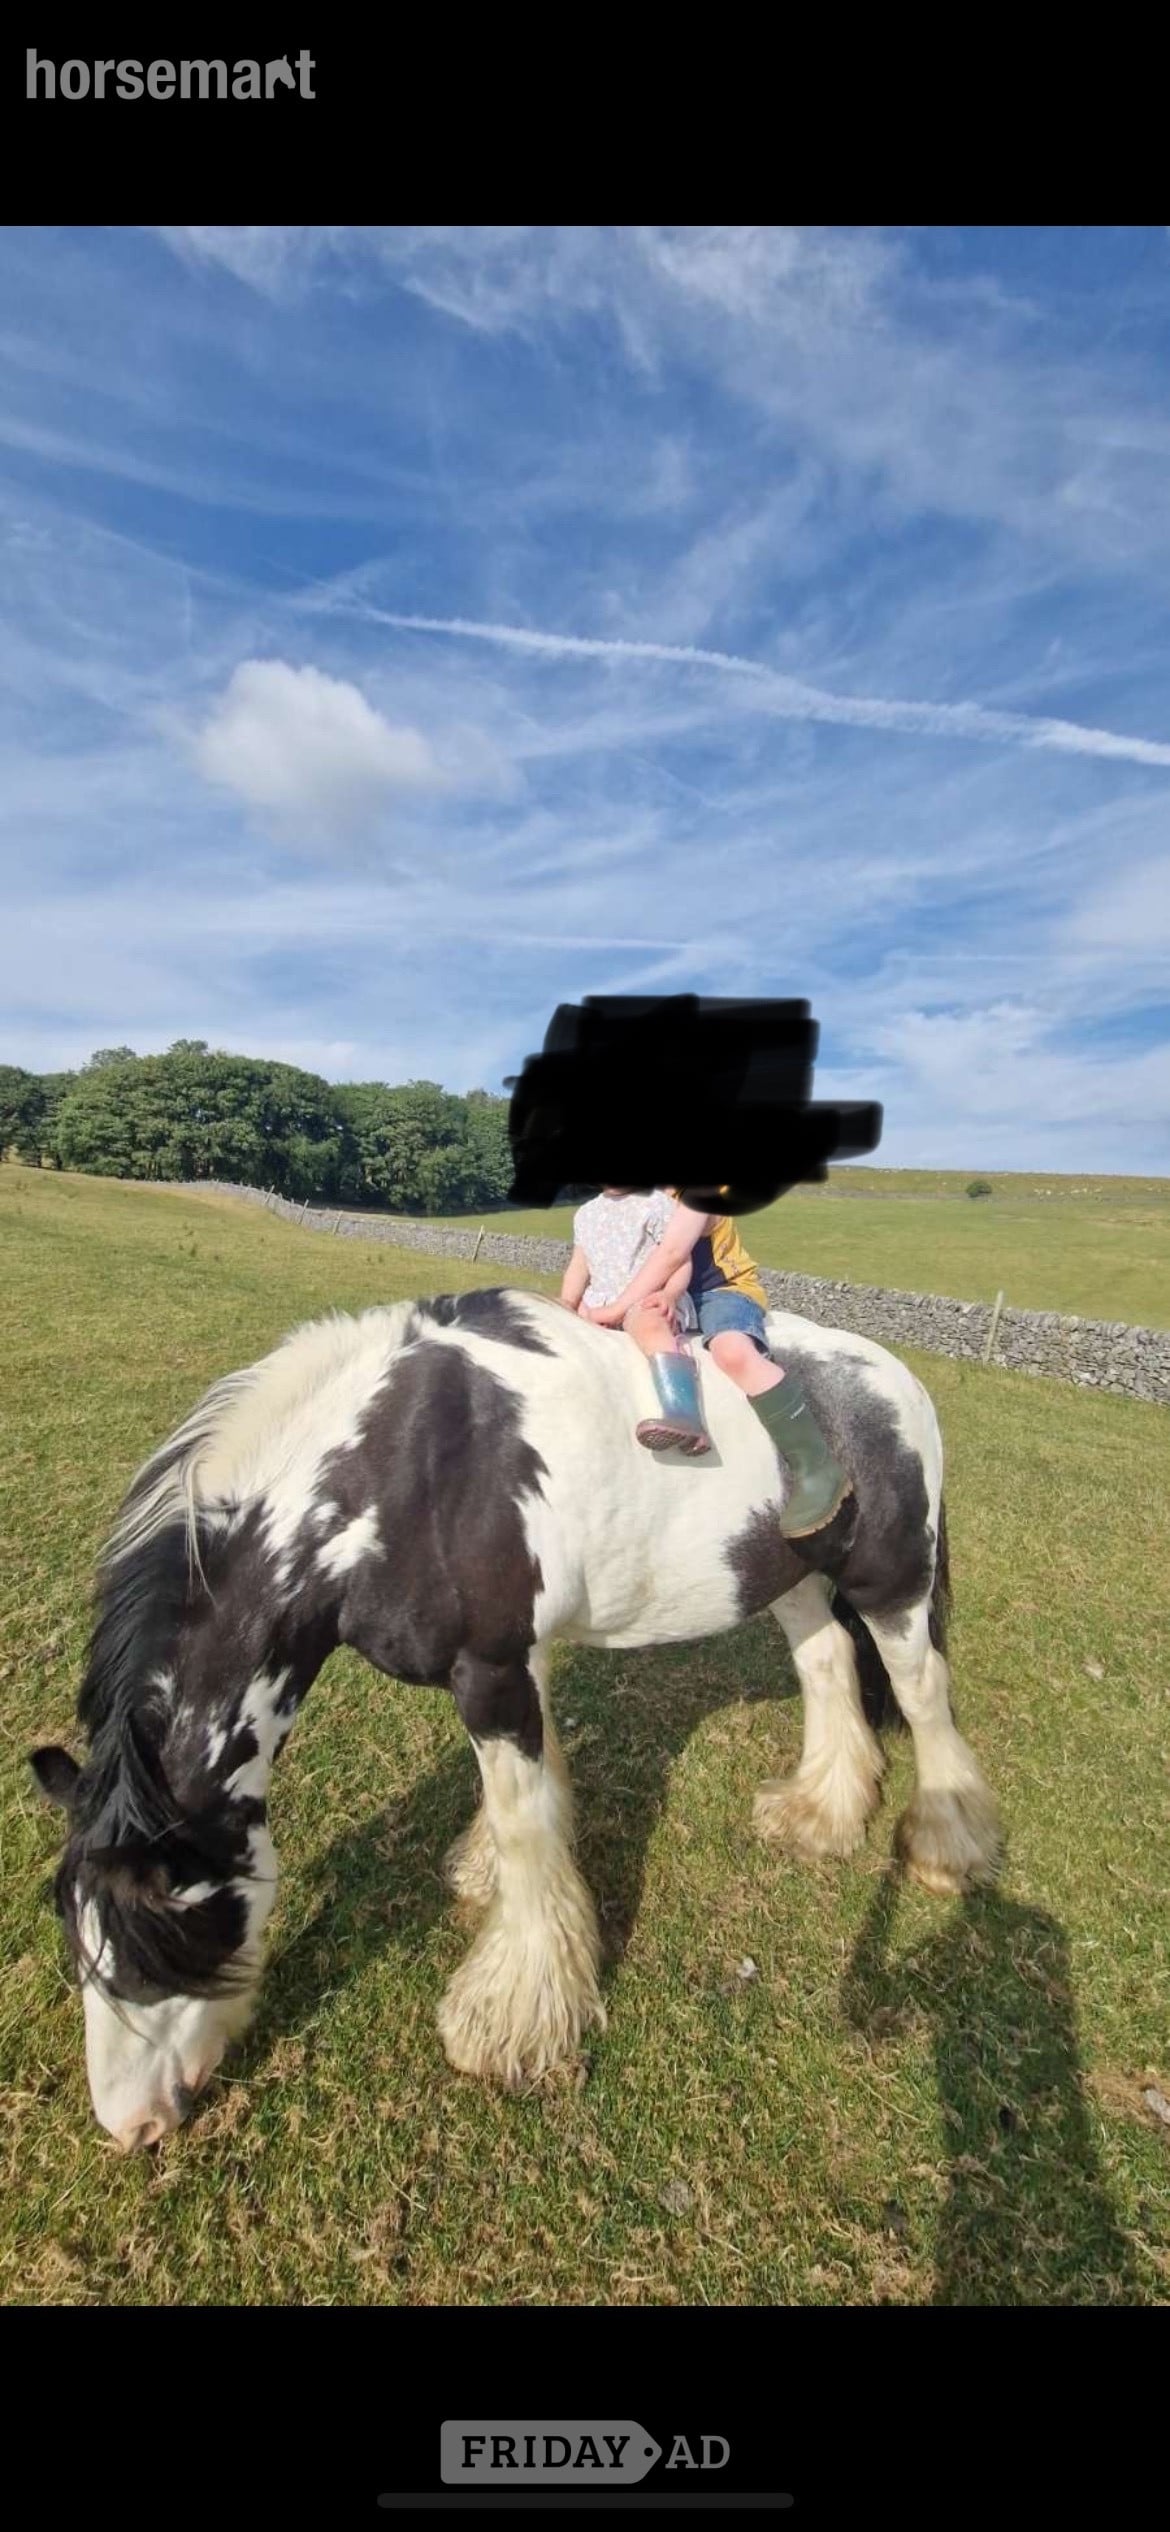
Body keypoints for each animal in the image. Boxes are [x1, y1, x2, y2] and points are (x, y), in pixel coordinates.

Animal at [30, 1286, 1001, 2152]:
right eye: (79, 1945)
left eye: (155, 1947)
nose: (130, 2127)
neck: (398, 1473)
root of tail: (895, 1381)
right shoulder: (514, 1658)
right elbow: (529, 1800)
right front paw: (487, 1878)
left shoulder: (491, 1670)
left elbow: (524, 1820)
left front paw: (512, 2020)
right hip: (787, 1576)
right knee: (828, 1663)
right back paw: (819, 1814)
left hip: (894, 1583)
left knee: (922, 1694)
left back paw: (947, 1846)